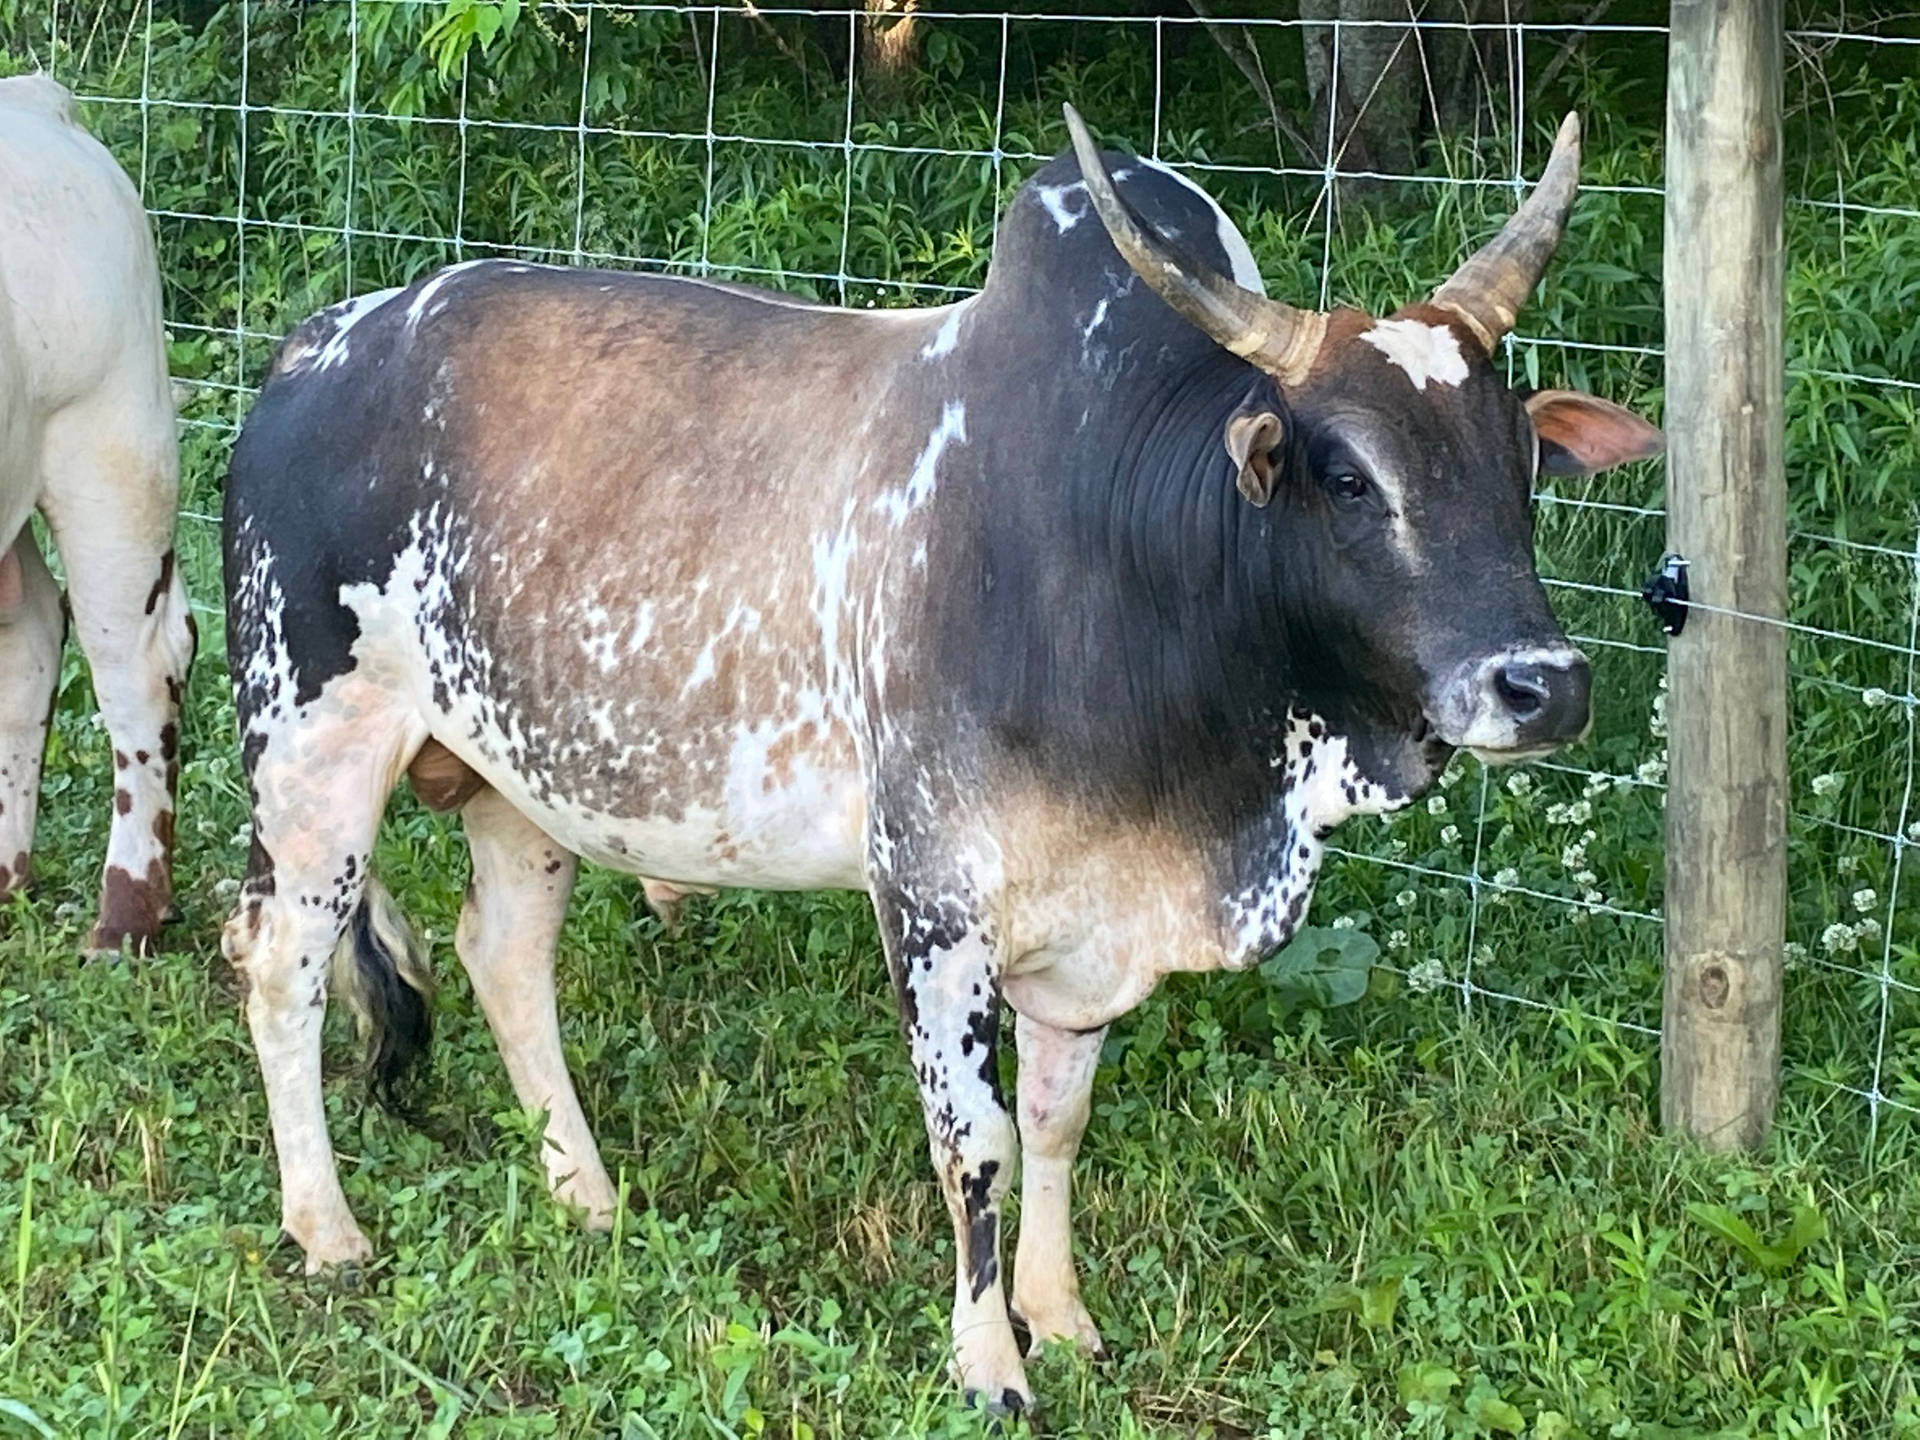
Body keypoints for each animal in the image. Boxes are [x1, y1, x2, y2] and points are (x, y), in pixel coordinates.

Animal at [220, 109, 1666, 1413]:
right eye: (1349, 475)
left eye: (1522, 462)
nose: (1544, 686)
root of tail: (315, 346)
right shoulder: (932, 897)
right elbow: (975, 1141)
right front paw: (988, 1363)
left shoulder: (1086, 926)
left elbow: (1059, 1120)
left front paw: (1059, 1316)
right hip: (311, 750)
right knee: (280, 962)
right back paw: (325, 1226)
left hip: (525, 781)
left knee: (504, 958)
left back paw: (588, 1195)